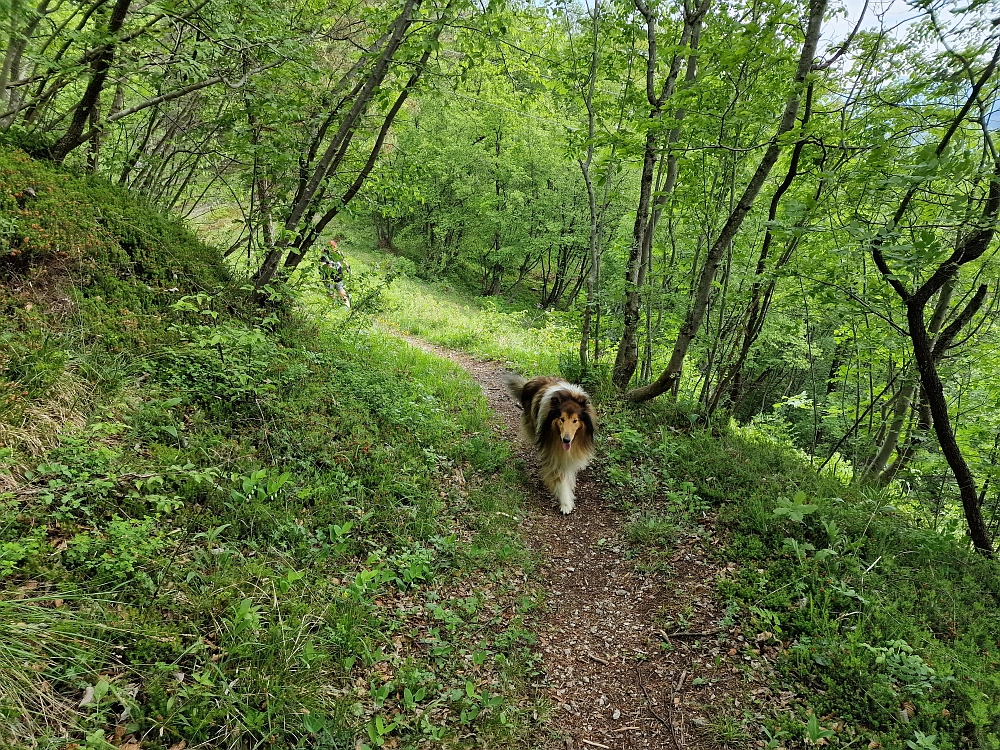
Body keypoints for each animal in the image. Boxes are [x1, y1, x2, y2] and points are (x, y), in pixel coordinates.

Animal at [508, 374, 592, 516]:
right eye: (562, 419)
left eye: (575, 420)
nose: (566, 440)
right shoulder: (553, 453)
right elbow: (560, 477)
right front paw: (566, 503)